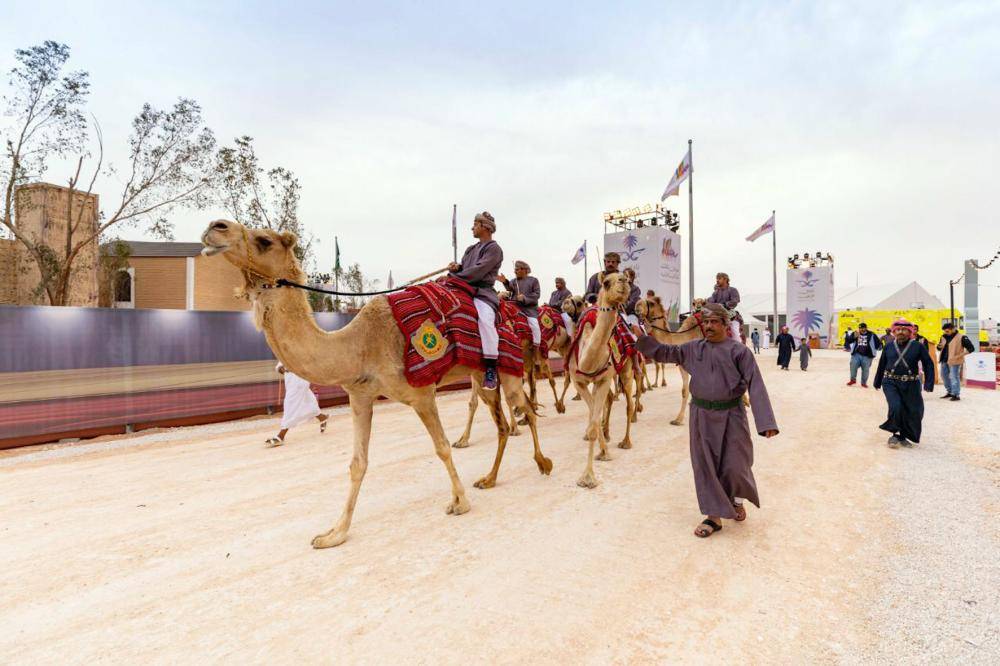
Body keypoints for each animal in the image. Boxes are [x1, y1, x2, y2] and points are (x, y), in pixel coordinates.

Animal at [198, 218, 552, 544]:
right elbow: (358, 463)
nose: (215, 227)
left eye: (264, 240)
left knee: (526, 407)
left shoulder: (422, 394)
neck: (361, 344)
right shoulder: (360, 395)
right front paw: (334, 534)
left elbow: (440, 448)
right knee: (503, 422)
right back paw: (489, 478)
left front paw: (460, 502)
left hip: (509, 368)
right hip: (482, 374)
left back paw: (543, 462)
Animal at [568, 272, 636, 488]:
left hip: (626, 370)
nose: (624, 281)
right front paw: (602, 450)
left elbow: (593, 423)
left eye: (627, 280)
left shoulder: (604, 379)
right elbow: (593, 419)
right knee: (609, 400)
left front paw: (588, 477)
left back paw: (625, 441)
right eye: (606, 283)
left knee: (629, 404)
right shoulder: (579, 381)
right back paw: (606, 434)